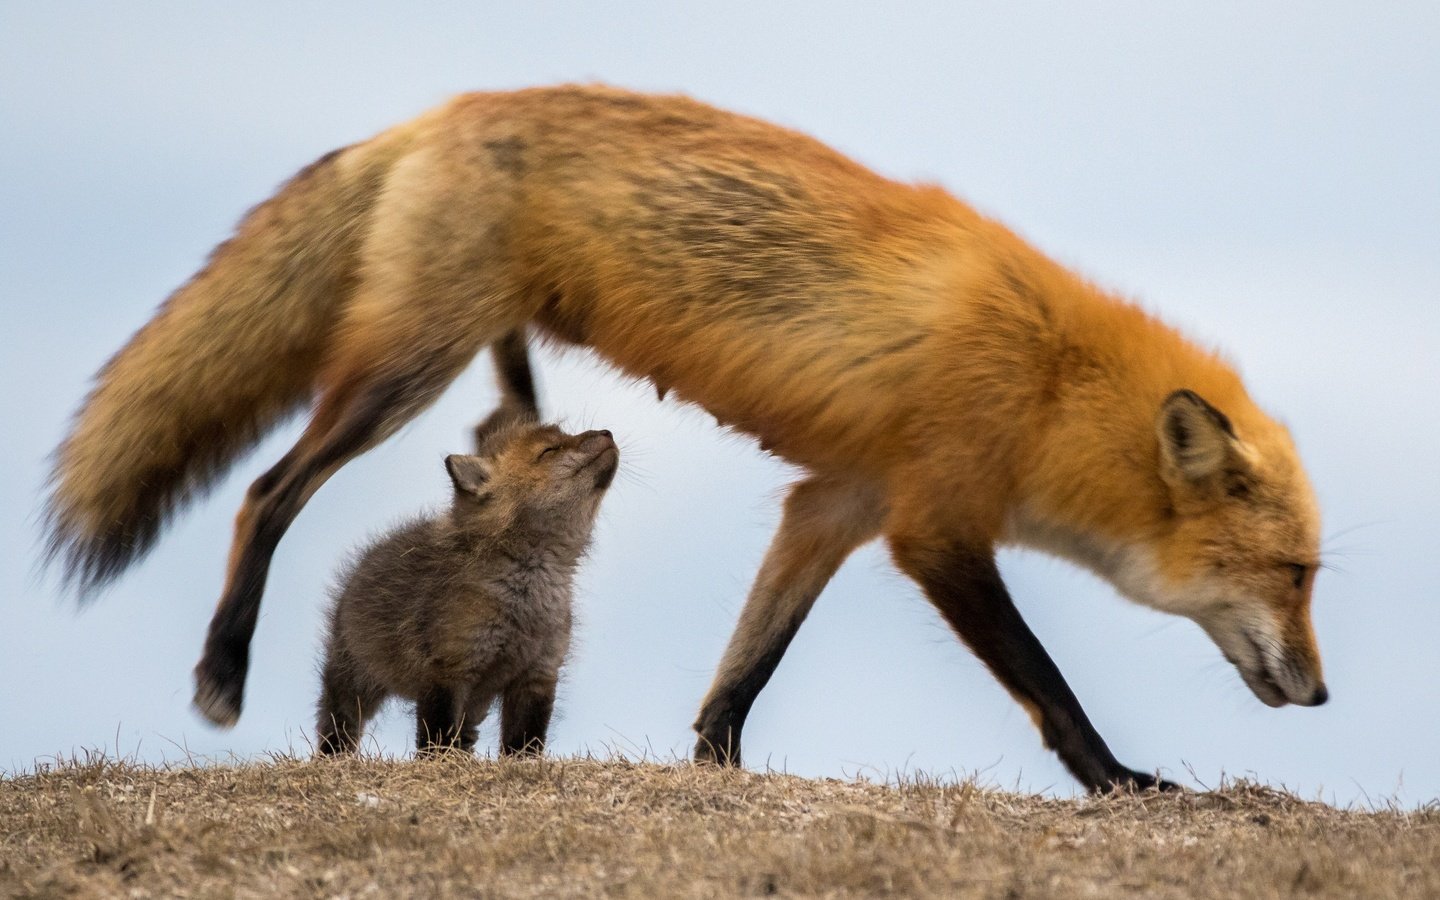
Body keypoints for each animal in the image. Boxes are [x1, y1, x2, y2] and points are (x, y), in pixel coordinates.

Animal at [45, 82, 1324, 783]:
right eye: (1296, 575)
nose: (1319, 698)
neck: (1053, 384)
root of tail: (439, 110)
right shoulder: (932, 527)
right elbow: (1047, 682)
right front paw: (1117, 782)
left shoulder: (837, 502)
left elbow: (744, 670)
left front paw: (715, 770)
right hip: (404, 365)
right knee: (267, 492)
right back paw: (221, 669)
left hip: (483, 349)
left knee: (479, 423)